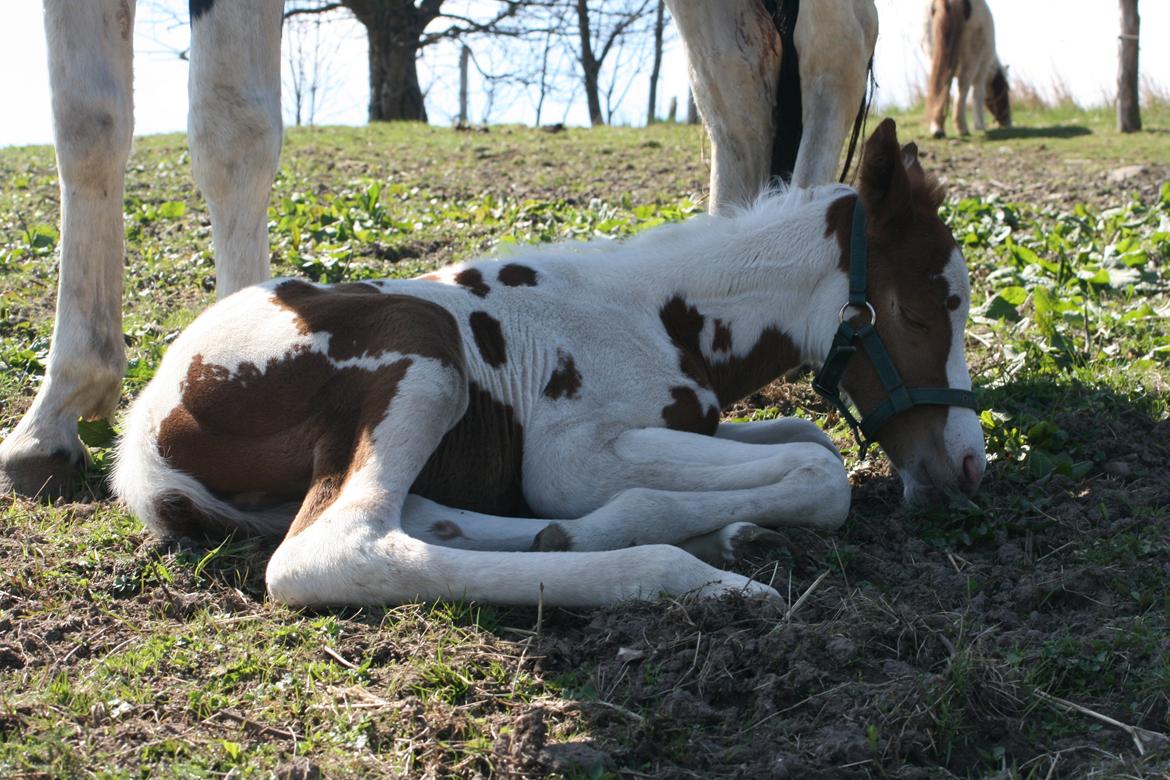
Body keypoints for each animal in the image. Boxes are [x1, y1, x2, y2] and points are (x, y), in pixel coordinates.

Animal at [109, 122, 987, 608]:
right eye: (918, 310)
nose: (969, 466)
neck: (658, 313)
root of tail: (146, 433)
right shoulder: (570, 456)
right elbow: (821, 472)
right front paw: (647, 526)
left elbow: (812, 437)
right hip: (424, 350)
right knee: (335, 551)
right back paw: (687, 574)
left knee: (427, 520)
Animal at [926, 0, 1010, 137]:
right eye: (1005, 89)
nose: (1007, 122)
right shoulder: (982, 69)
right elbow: (978, 93)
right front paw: (979, 125)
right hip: (971, 59)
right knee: (963, 86)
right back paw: (962, 128)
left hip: (935, 54)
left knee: (941, 87)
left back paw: (938, 128)